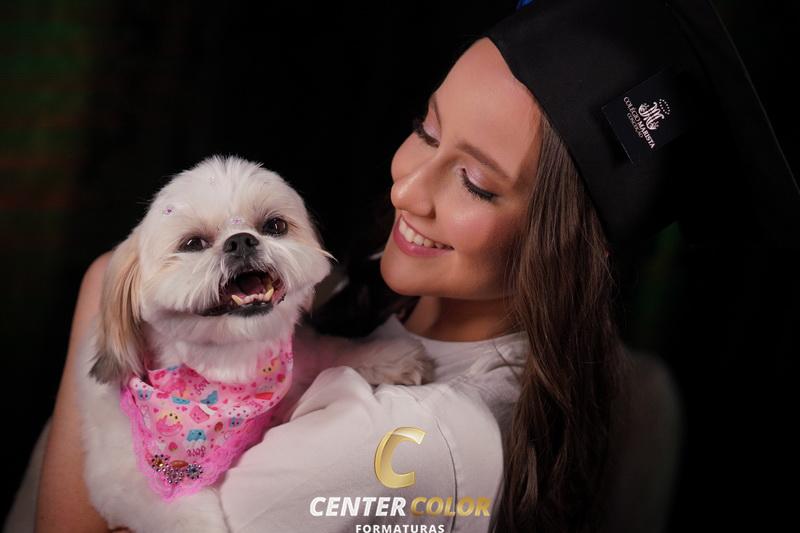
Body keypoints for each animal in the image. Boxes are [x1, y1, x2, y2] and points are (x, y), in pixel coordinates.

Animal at [74, 155, 434, 532]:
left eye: (274, 225)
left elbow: (328, 351)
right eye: (192, 244)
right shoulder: (122, 479)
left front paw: (389, 357)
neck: (229, 370)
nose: (242, 241)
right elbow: (175, 508)